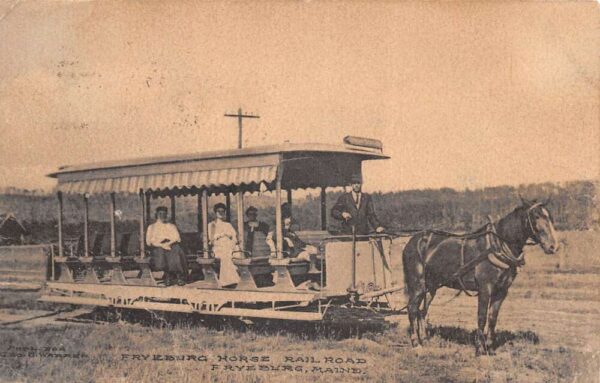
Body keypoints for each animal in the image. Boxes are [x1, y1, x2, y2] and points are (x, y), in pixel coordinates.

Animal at [400, 200, 560, 356]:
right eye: (536, 216)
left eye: (550, 217)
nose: (553, 246)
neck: (497, 245)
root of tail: (413, 241)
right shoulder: (485, 288)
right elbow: (482, 317)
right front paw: (479, 349)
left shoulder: (501, 291)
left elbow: (492, 318)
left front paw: (490, 348)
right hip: (417, 284)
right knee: (412, 309)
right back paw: (416, 343)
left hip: (431, 287)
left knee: (422, 311)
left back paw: (425, 340)